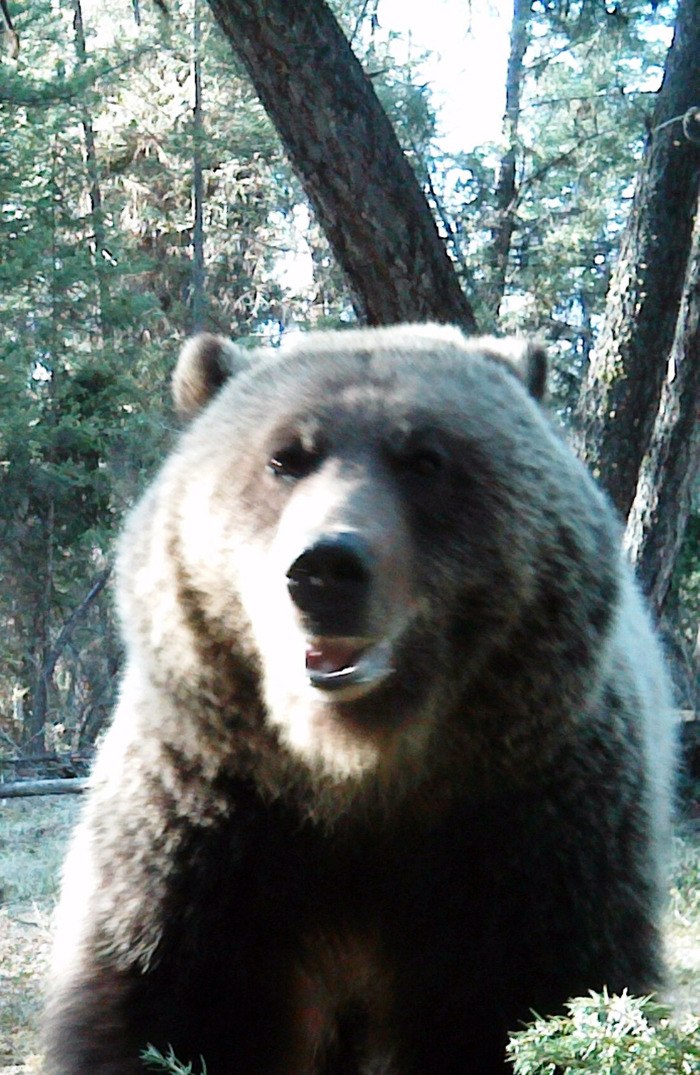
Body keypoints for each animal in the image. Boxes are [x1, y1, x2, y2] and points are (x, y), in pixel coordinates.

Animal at [45, 326, 679, 1075]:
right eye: (285, 456)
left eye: (425, 458)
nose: (324, 569)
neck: (356, 768)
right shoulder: (210, 817)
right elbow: (159, 1006)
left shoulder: (527, 821)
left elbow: (536, 991)